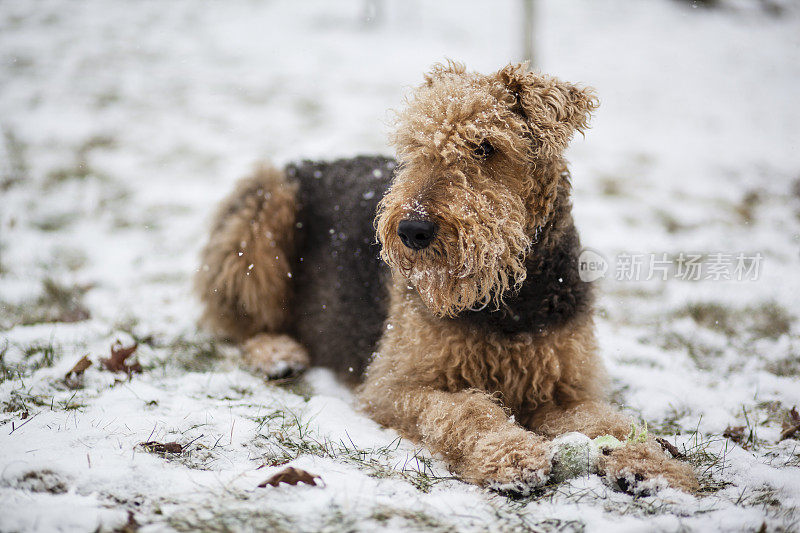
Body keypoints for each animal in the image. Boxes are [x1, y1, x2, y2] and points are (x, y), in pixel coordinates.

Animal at [195, 61, 700, 490]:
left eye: (486, 147)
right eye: (416, 145)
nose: (412, 230)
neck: (507, 300)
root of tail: (305, 162)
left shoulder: (565, 388)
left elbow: (613, 423)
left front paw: (654, 466)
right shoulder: (395, 385)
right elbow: (466, 409)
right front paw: (511, 454)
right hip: (262, 214)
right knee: (236, 320)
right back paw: (276, 352)